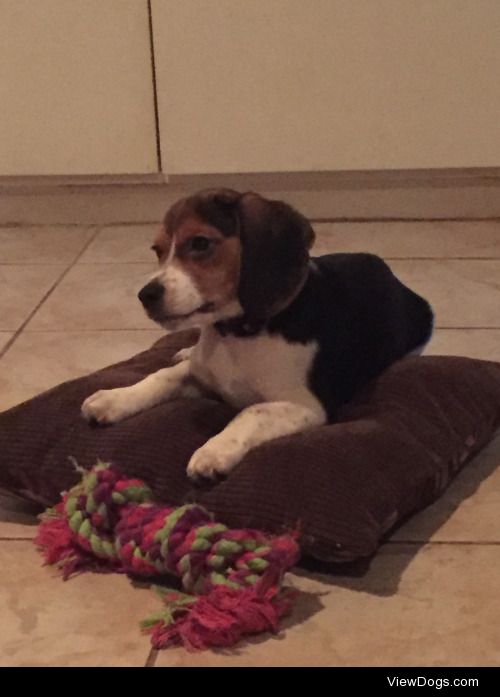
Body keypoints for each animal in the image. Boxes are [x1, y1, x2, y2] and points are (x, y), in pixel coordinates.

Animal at [83, 189, 434, 478]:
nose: (146, 295)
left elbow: (252, 410)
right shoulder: (200, 375)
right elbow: (161, 376)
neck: (237, 334)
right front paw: (114, 398)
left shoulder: (306, 406)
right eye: (157, 250)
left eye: (200, 243)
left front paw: (214, 450)